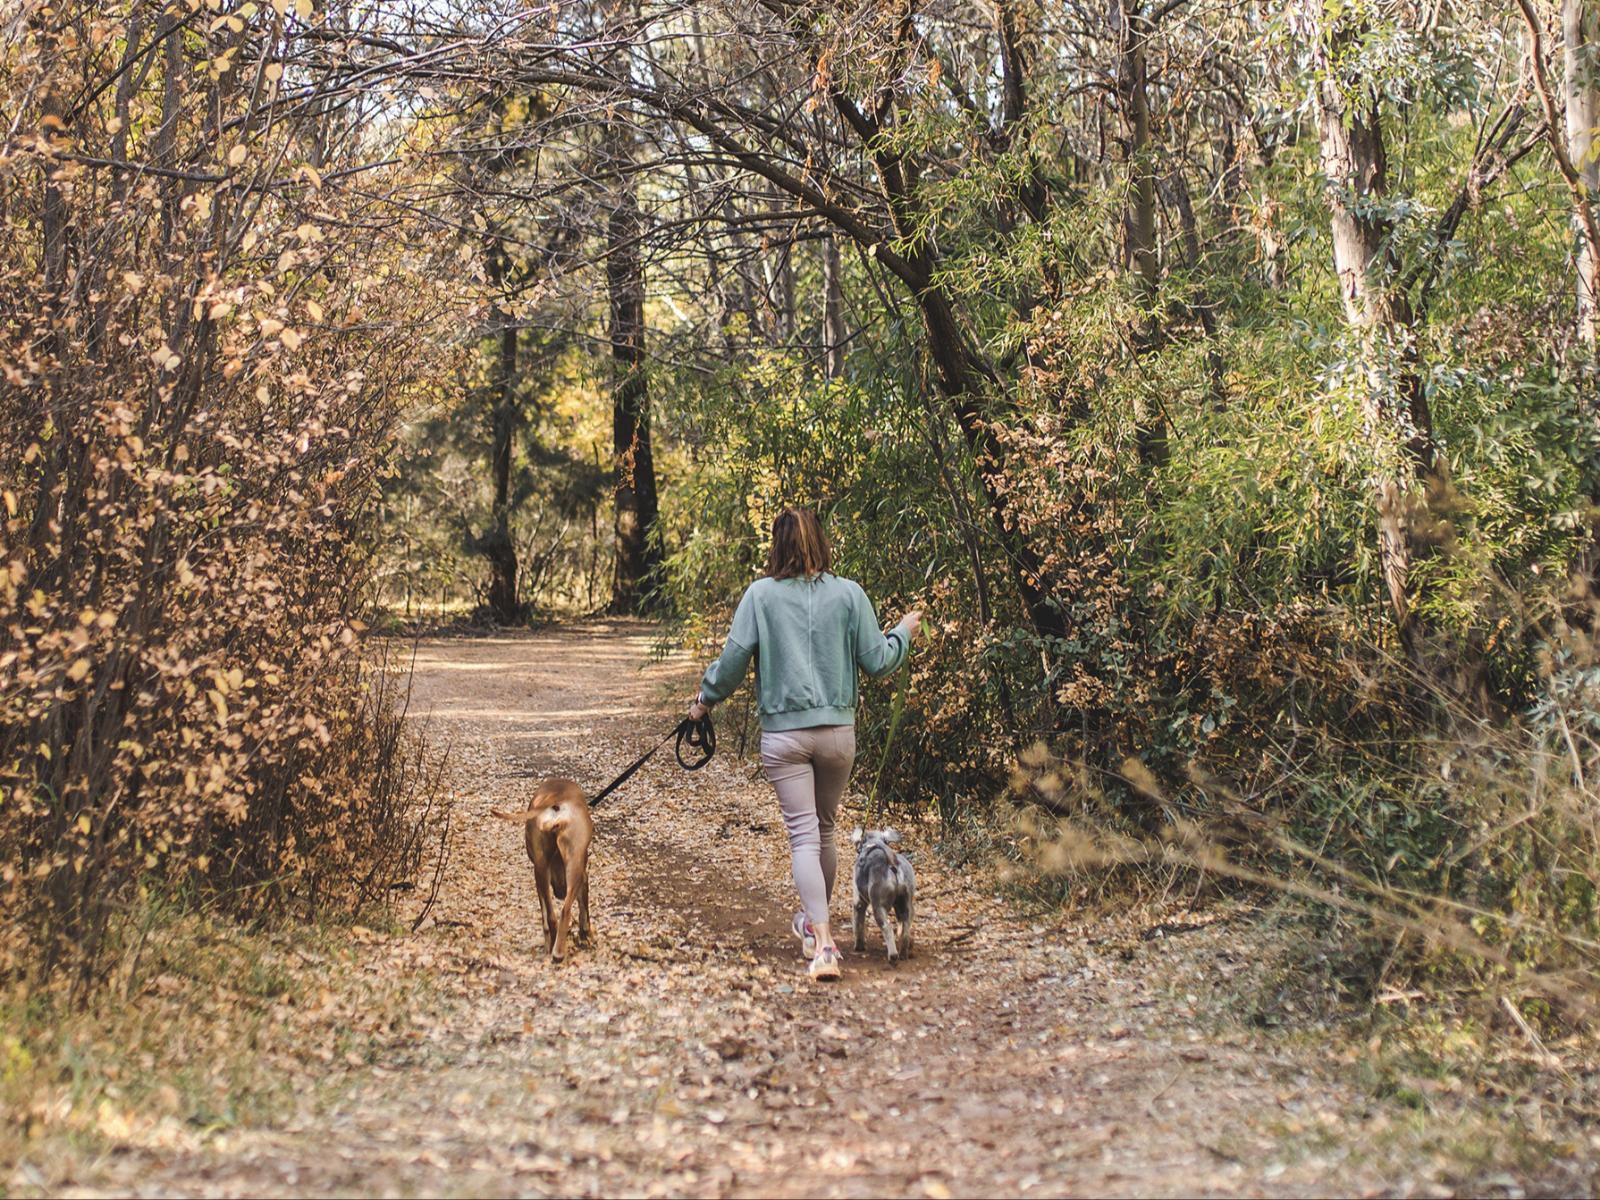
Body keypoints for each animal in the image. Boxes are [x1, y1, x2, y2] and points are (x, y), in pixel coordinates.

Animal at [489, 784, 592, 966]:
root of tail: (556, 807)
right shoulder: (583, 876)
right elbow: (583, 910)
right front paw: (585, 934)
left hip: (542, 870)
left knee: (551, 916)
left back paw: (554, 950)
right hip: (567, 868)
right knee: (563, 911)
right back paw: (557, 953)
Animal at [851, 832, 915, 966]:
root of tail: (893, 864)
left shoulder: (859, 903)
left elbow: (858, 925)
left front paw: (858, 946)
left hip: (878, 907)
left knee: (887, 927)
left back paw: (893, 955)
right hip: (906, 906)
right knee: (906, 929)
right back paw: (903, 953)